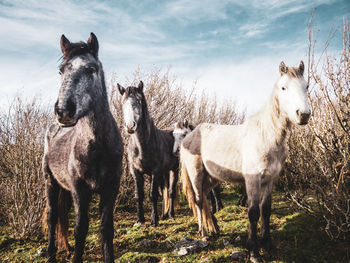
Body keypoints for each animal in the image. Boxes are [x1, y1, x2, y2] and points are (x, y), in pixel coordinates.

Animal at [42, 33, 123, 263]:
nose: (63, 110)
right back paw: (51, 255)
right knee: (52, 216)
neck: (97, 147)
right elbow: (81, 229)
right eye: (61, 71)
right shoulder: (80, 189)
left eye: (90, 69)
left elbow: (106, 229)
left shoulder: (111, 188)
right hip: (51, 182)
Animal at [118, 82, 179, 227]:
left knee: (171, 192)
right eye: (123, 102)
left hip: (174, 170)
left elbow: (153, 195)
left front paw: (154, 221)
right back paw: (164, 215)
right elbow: (139, 195)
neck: (143, 145)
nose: (130, 126)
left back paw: (171, 214)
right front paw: (139, 220)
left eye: (139, 100)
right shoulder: (135, 172)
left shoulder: (155, 172)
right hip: (164, 172)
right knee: (164, 191)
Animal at [179, 60, 310, 262]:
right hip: (196, 175)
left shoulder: (270, 180)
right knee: (199, 200)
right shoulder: (252, 180)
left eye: (307, 86)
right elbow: (253, 212)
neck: (266, 137)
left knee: (207, 197)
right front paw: (254, 252)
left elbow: (266, 210)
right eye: (283, 87)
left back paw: (215, 227)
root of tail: (189, 136)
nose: (303, 115)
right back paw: (203, 233)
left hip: (212, 177)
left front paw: (268, 245)